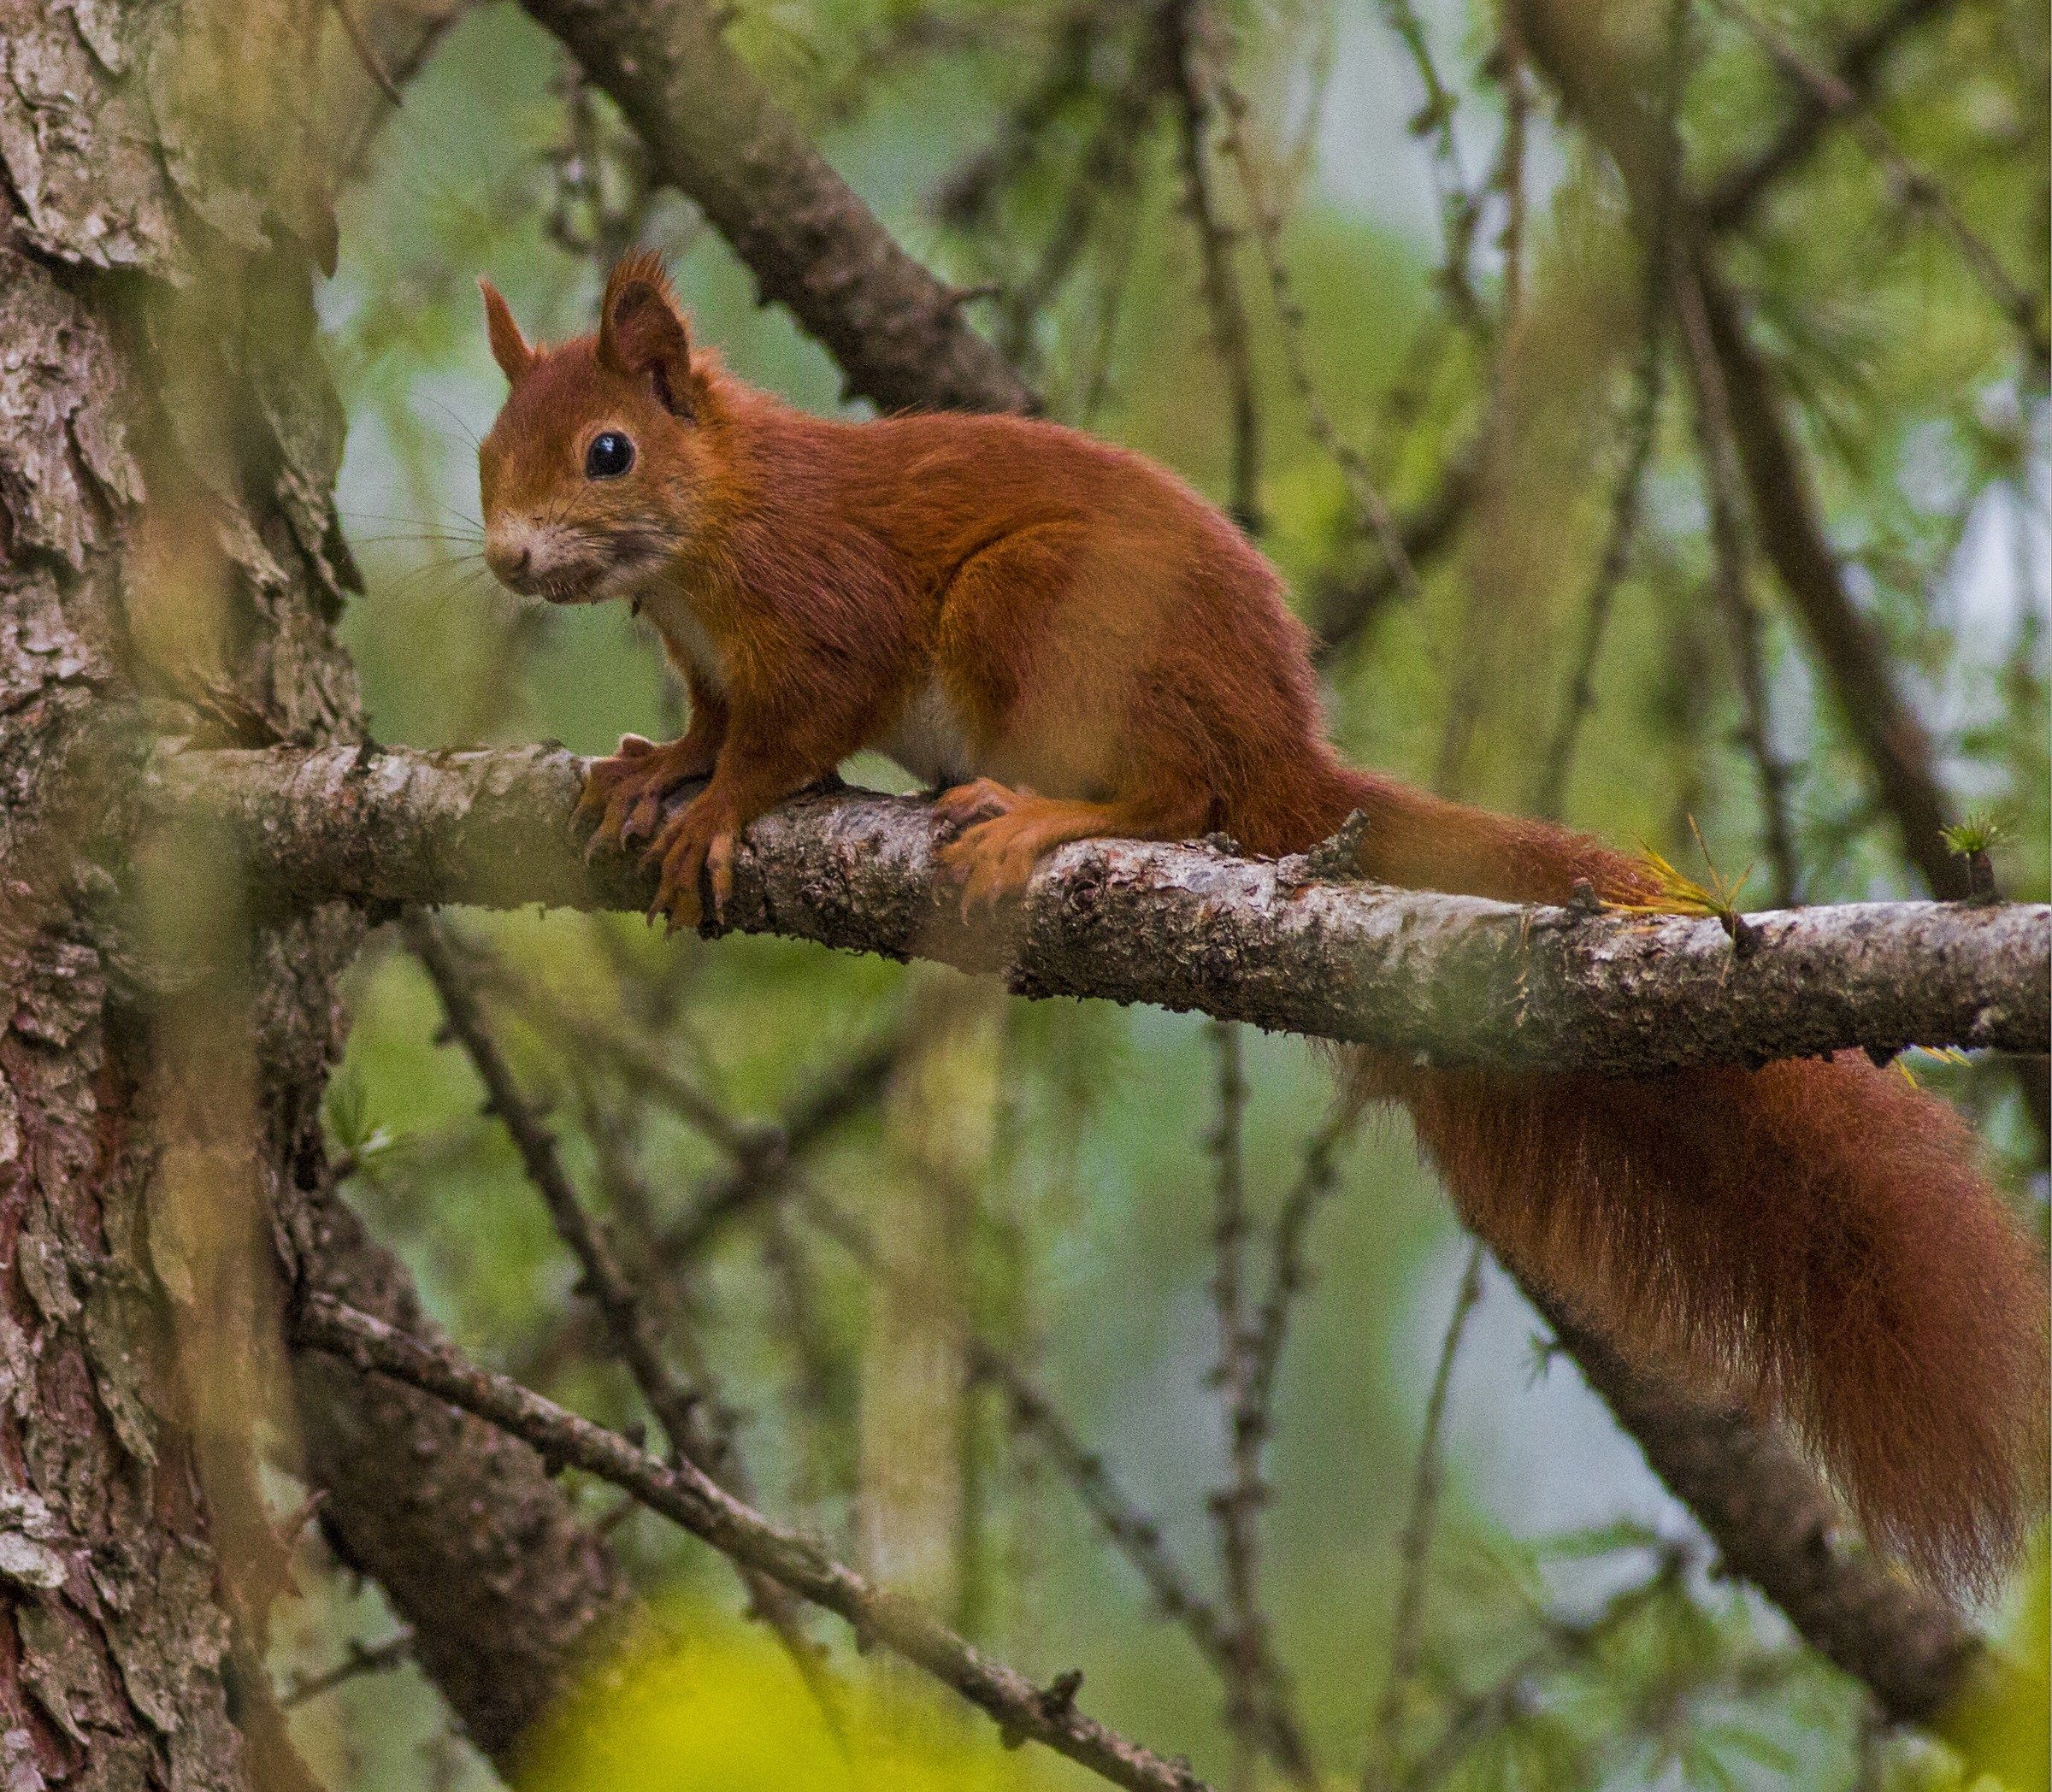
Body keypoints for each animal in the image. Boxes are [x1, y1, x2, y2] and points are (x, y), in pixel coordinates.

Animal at [475, 248, 2035, 1576]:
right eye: (491, 454)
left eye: (609, 452)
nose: (505, 561)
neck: (706, 533)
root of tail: (1282, 742)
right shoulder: (709, 661)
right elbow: (708, 723)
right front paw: (653, 768)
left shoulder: (821, 603)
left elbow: (790, 732)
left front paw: (719, 807)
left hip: (1040, 610)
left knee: (1177, 796)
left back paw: (1051, 816)